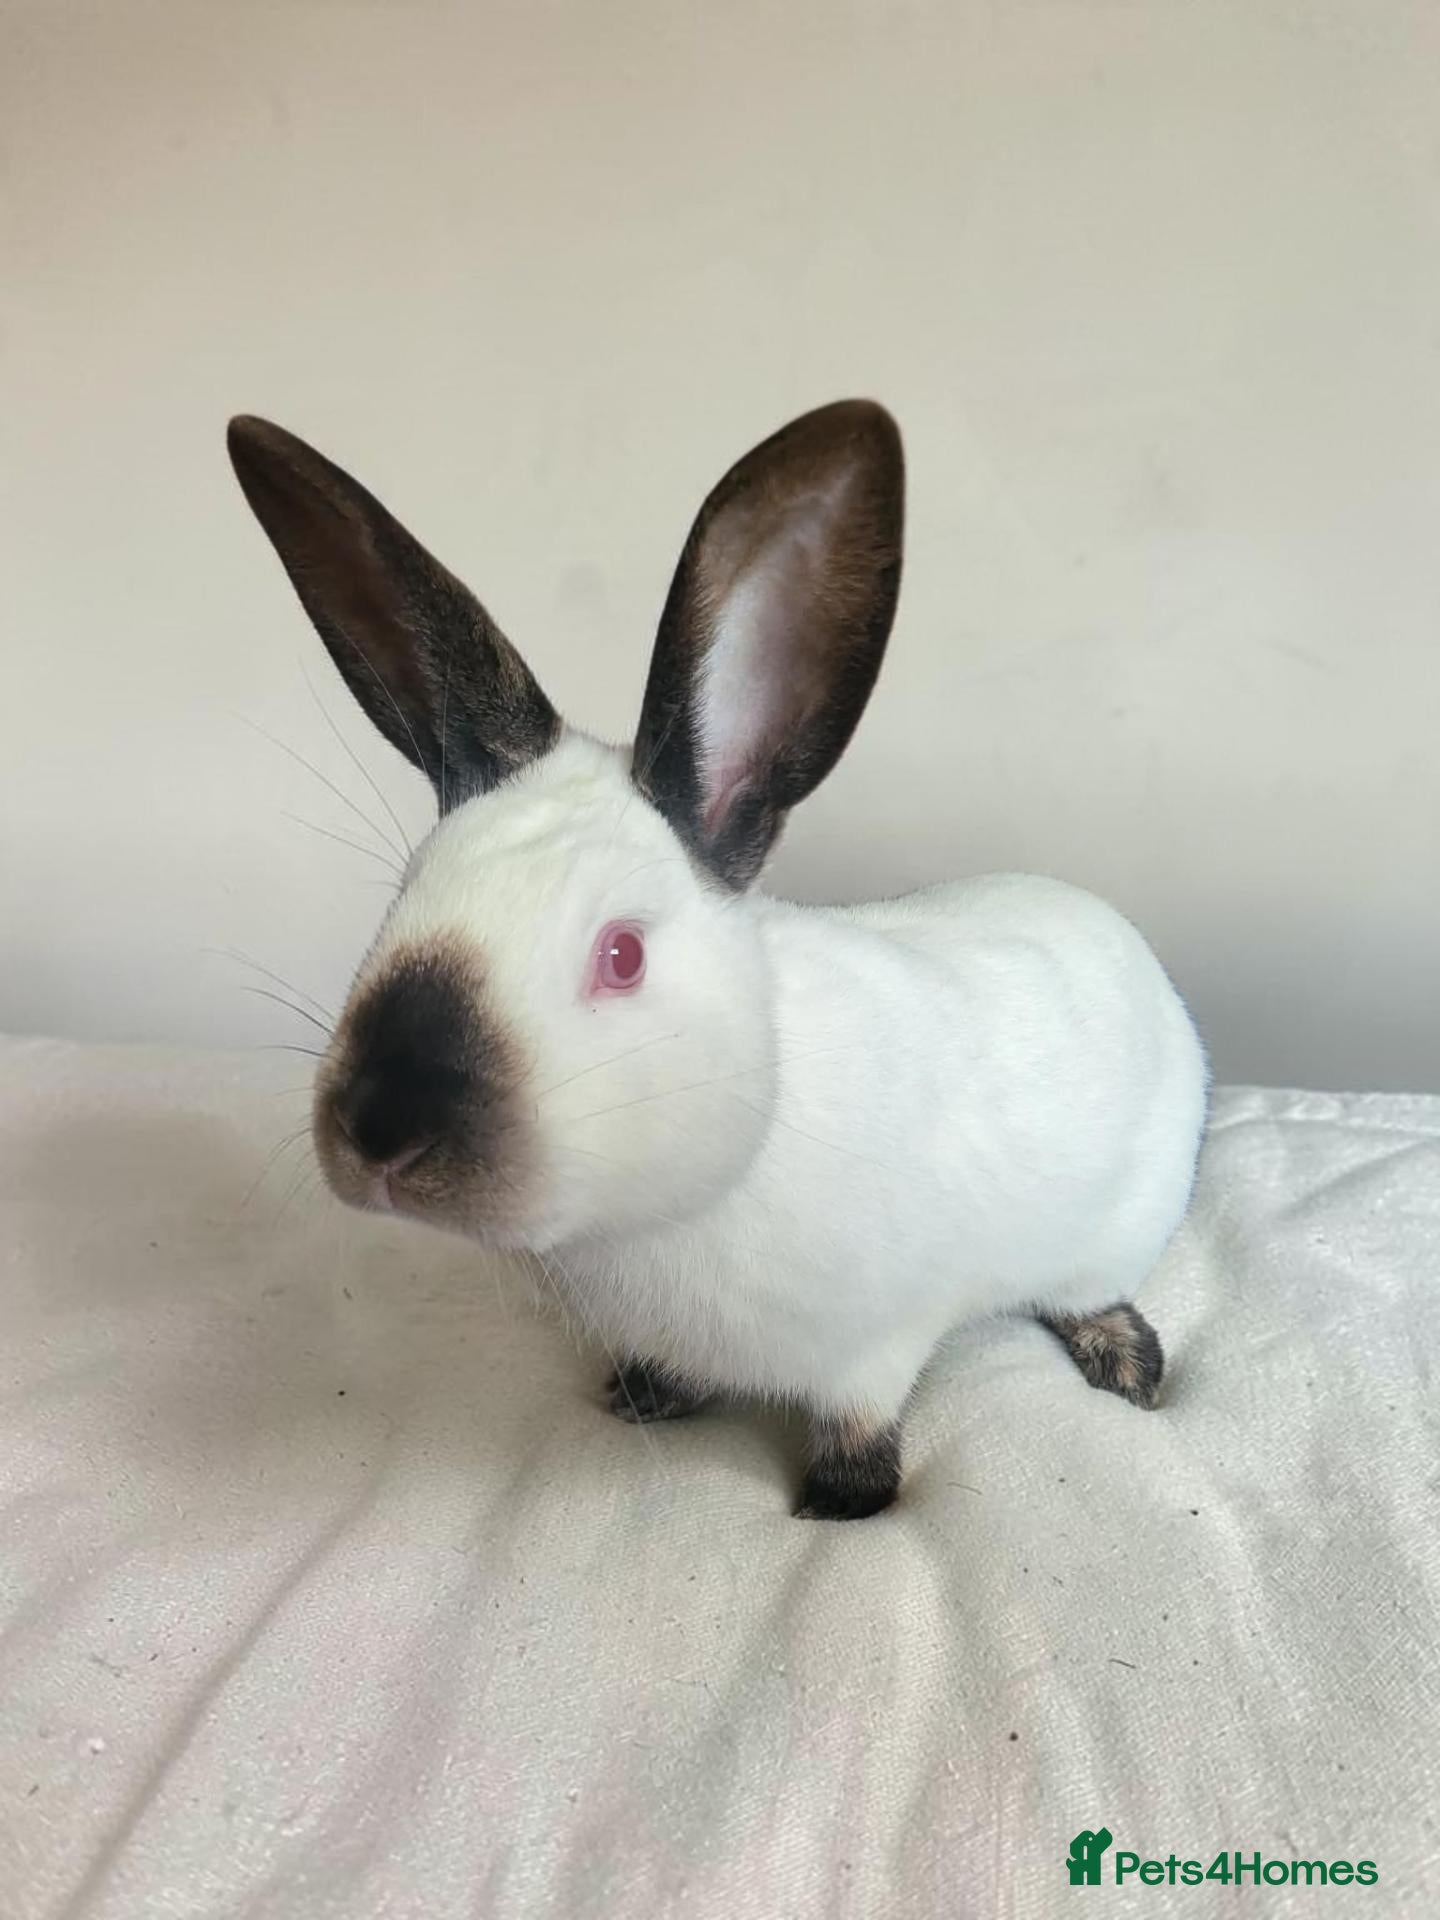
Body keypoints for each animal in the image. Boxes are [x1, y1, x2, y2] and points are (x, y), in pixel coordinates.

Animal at [227, 399, 1208, 1520]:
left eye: (621, 955)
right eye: (404, 893)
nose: (382, 1131)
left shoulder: (876, 1348)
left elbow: (863, 1431)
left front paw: (839, 1501)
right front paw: (643, 1397)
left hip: (1115, 1228)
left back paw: (1127, 1364)